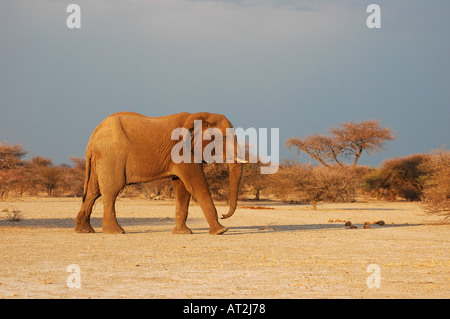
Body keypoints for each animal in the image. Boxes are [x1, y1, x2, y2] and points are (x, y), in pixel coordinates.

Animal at [74, 112, 243, 235]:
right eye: (224, 138)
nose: (224, 215)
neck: (201, 116)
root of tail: (92, 138)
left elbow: (183, 188)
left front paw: (182, 233)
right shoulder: (183, 151)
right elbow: (196, 185)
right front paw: (221, 231)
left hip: (100, 159)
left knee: (92, 192)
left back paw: (84, 231)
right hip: (111, 157)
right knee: (111, 191)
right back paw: (116, 232)